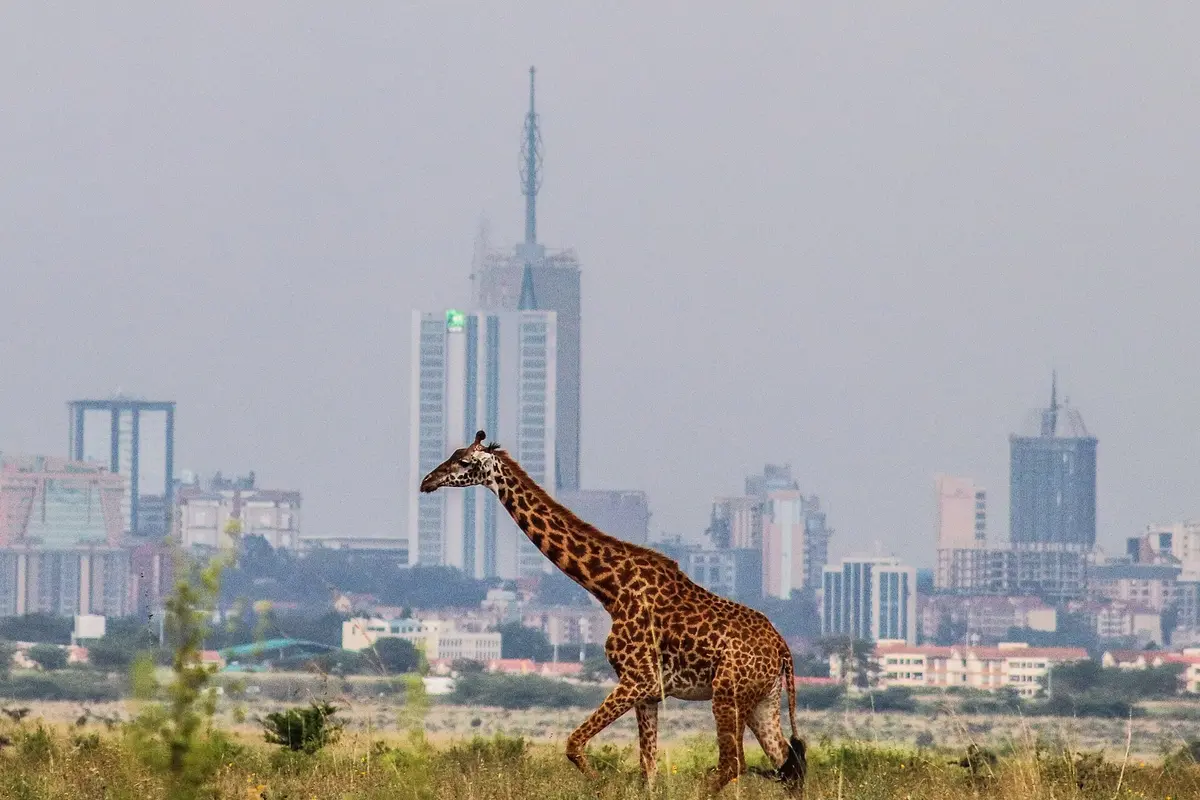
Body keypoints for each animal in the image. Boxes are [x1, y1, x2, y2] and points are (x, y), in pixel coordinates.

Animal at [419, 431, 807, 796]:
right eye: (452, 455)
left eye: (464, 462)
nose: (427, 481)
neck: (611, 589)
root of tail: (782, 649)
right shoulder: (649, 692)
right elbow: (647, 768)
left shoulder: (638, 679)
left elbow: (574, 744)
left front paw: (599, 783)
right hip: (761, 700)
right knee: (787, 763)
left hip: (728, 693)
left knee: (734, 763)